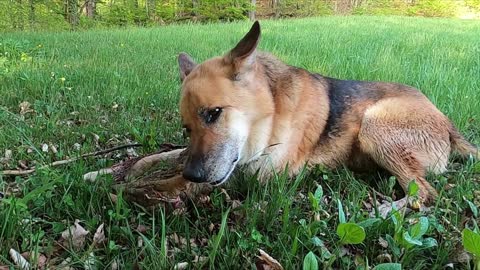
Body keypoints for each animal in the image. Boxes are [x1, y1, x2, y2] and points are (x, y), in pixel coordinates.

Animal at [175, 21, 476, 202]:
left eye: (214, 113)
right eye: (187, 128)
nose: (192, 174)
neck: (272, 111)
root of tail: (447, 123)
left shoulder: (257, 176)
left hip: (374, 125)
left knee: (423, 194)